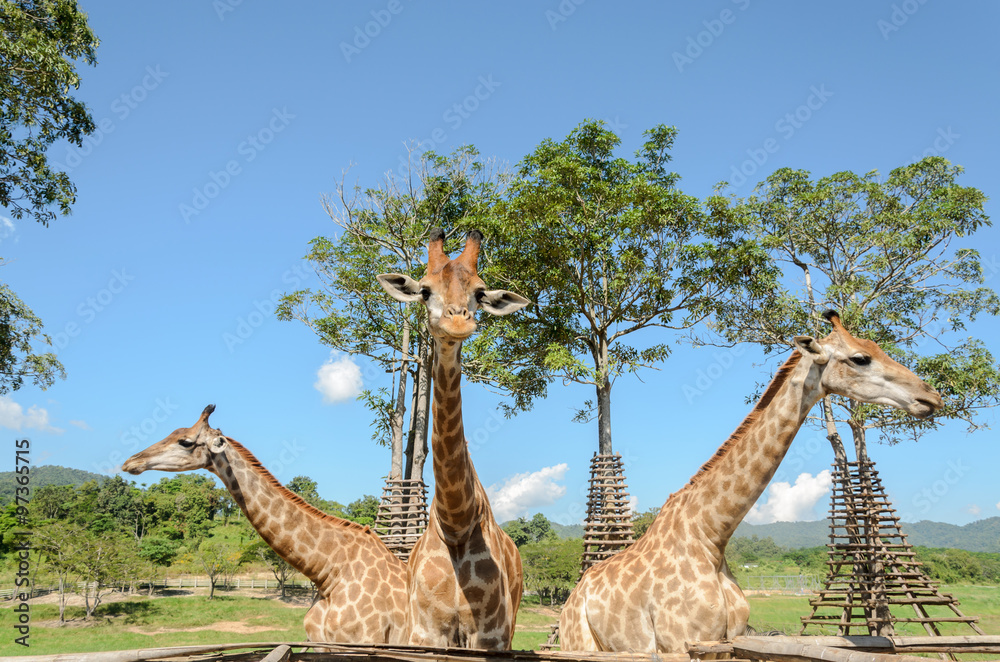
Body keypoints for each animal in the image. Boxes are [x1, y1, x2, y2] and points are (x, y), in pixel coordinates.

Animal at [377, 228, 529, 650]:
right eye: (425, 290)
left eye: (479, 292)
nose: (457, 323)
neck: (456, 520)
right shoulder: (427, 631)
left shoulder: (491, 634)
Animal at [559, 311, 943, 653]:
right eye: (860, 358)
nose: (932, 396)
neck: (712, 535)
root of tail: (573, 596)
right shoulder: (678, 642)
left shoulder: (726, 641)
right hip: (579, 641)